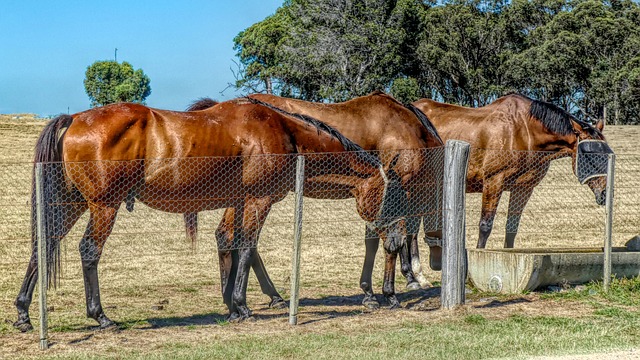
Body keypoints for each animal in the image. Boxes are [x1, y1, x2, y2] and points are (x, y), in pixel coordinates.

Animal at [13, 97, 410, 330]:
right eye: (391, 195)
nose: (397, 239)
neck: (283, 131)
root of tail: (75, 118)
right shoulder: (259, 200)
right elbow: (246, 247)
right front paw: (241, 306)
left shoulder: (238, 201)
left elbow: (231, 246)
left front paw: (231, 305)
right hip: (103, 207)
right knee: (89, 251)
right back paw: (101, 317)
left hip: (72, 204)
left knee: (43, 246)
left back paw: (23, 314)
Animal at [184, 91, 444, 308]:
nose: (439, 264)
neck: (409, 129)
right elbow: (393, 242)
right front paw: (395, 288)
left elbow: (377, 242)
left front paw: (371, 292)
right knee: (238, 239)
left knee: (230, 237)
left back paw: (266, 297)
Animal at [412, 93, 612, 253]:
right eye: (590, 153)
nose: (605, 194)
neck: (524, 132)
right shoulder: (494, 182)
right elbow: (485, 226)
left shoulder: (523, 189)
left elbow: (511, 229)